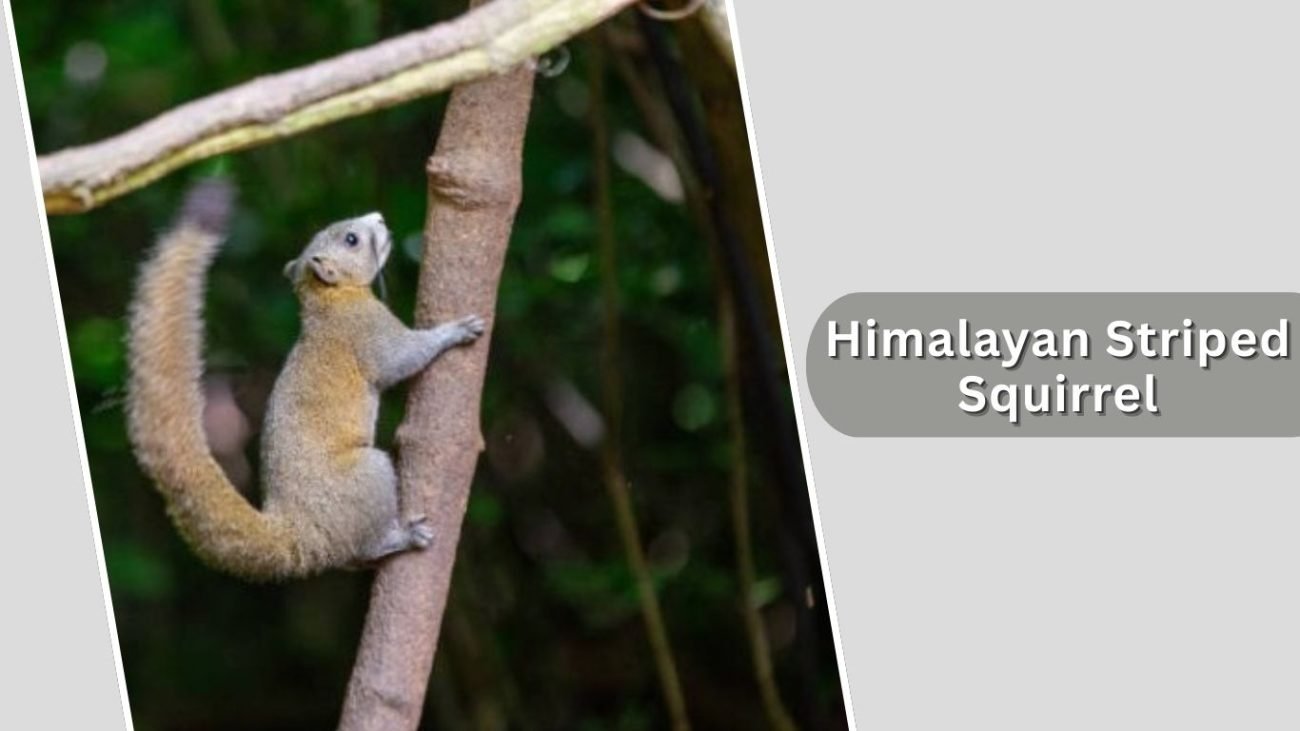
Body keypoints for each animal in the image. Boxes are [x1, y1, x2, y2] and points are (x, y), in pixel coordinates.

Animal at [125, 179, 485, 581]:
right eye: (351, 239)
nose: (379, 217)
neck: (330, 298)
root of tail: (301, 536)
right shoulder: (369, 333)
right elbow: (403, 358)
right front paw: (456, 330)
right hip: (369, 472)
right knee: (364, 545)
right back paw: (402, 537)